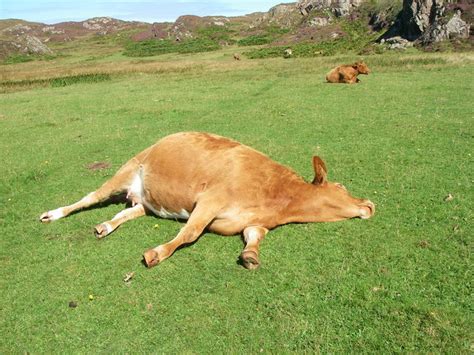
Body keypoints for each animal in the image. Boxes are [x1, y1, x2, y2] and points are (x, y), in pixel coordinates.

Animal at [39, 133, 374, 270]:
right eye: (342, 185)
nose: (370, 204)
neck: (276, 197)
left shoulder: (253, 222)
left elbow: (253, 237)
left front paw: (250, 256)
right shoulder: (211, 198)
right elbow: (190, 232)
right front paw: (156, 254)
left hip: (146, 202)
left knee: (128, 213)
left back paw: (105, 226)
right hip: (128, 169)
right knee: (89, 198)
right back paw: (53, 214)